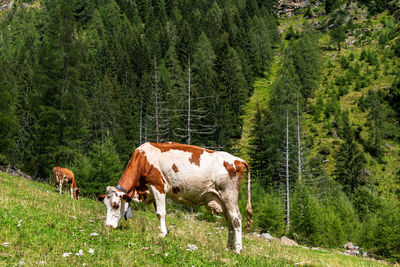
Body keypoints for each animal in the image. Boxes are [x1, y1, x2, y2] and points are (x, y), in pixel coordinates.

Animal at [97, 142, 252, 253]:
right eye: (105, 205)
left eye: (116, 205)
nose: (108, 226)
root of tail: (237, 159)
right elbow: (159, 212)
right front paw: (166, 232)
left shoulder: (158, 186)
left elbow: (160, 213)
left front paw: (162, 234)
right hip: (222, 201)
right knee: (230, 222)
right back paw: (229, 247)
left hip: (229, 196)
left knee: (237, 219)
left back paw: (238, 249)